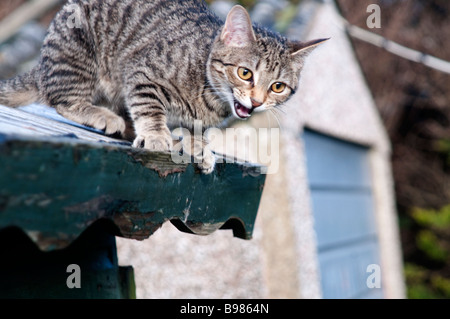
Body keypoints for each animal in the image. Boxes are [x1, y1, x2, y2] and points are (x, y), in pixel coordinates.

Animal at [0, 0, 326, 174]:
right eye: (245, 73)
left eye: (278, 87)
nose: (257, 102)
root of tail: (42, 66)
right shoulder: (143, 72)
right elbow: (149, 106)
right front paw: (157, 136)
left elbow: (199, 129)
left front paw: (198, 145)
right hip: (77, 51)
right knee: (63, 99)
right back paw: (104, 116)